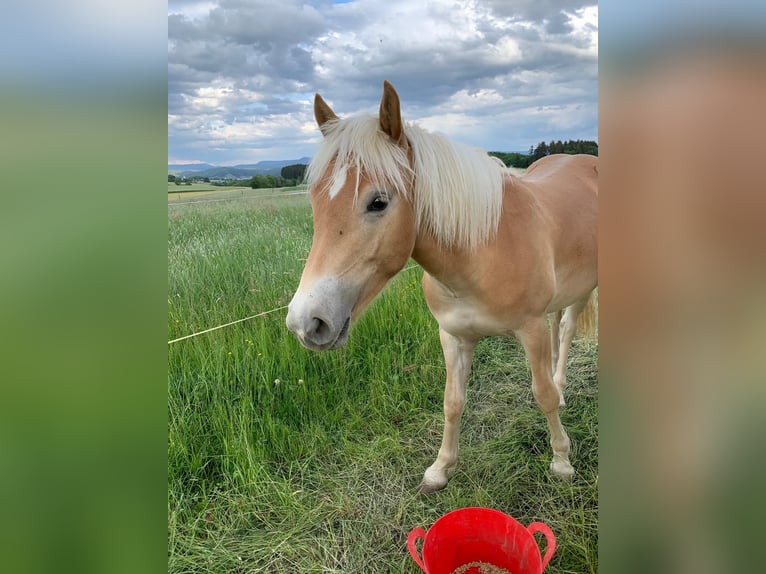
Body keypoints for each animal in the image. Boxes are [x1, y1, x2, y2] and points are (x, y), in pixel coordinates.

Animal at [288, 82, 600, 496]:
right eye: (315, 201)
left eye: (378, 201)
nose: (307, 321)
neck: (482, 252)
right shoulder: (452, 336)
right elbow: (452, 401)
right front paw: (440, 469)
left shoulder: (529, 330)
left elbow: (543, 395)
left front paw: (561, 461)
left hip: (584, 288)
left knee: (565, 331)